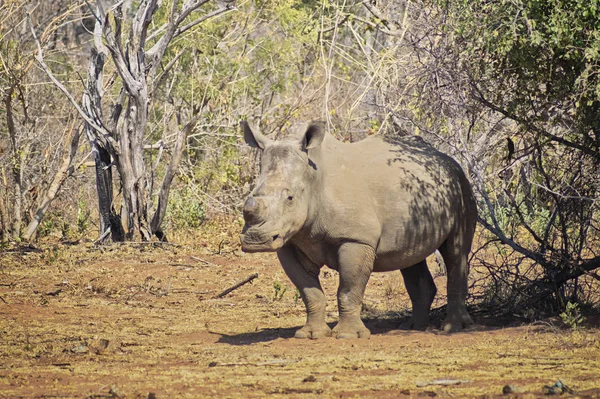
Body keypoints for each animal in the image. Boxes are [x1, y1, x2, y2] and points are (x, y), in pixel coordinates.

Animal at [239, 122, 478, 340]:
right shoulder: (289, 242)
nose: (254, 239)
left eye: (290, 198)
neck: (314, 179)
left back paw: (452, 328)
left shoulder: (356, 239)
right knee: (410, 257)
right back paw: (412, 327)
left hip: (461, 186)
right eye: (250, 195)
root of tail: (446, 159)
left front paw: (348, 335)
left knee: (456, 252)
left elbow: (348, 289)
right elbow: (309, 291)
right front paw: (310, 335)